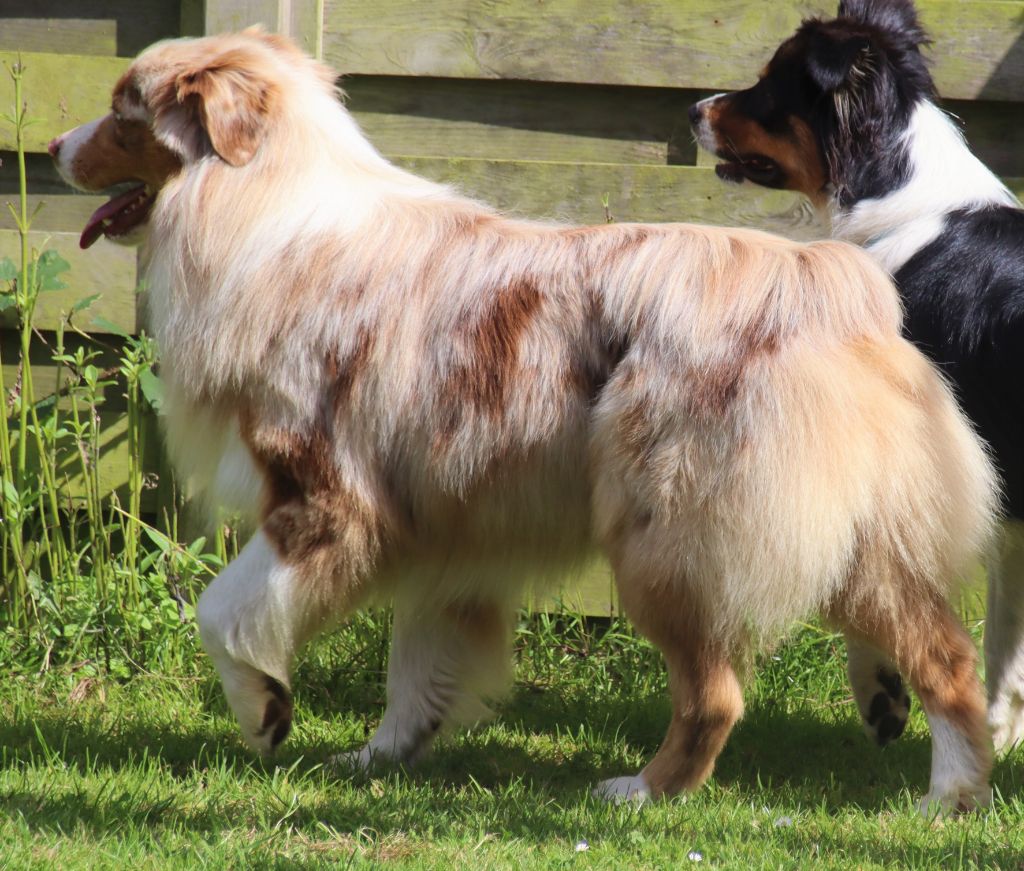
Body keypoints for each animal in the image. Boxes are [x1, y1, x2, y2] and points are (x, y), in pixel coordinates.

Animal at [51, 30, 995, 814]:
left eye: (125, 110)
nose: (56, 150)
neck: (257, 209)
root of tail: (827, 283)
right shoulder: (438, 520)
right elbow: (417, 664)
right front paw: (380, 756)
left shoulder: (322, 494)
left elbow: (221, 610)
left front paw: (264, 711)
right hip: (868, 538)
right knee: (950, 658)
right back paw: (950, 796)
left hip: (668, 541)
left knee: (716, 692)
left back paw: (642, 791)